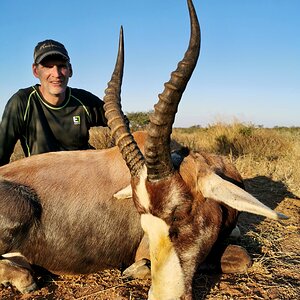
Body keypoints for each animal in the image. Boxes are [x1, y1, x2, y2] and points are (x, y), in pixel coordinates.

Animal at [0, 0, 286, 298]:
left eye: (179, 215)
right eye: (146, 223)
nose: (164, 295)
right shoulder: (141, 249)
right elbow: (241, 256)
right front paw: (136, 270)